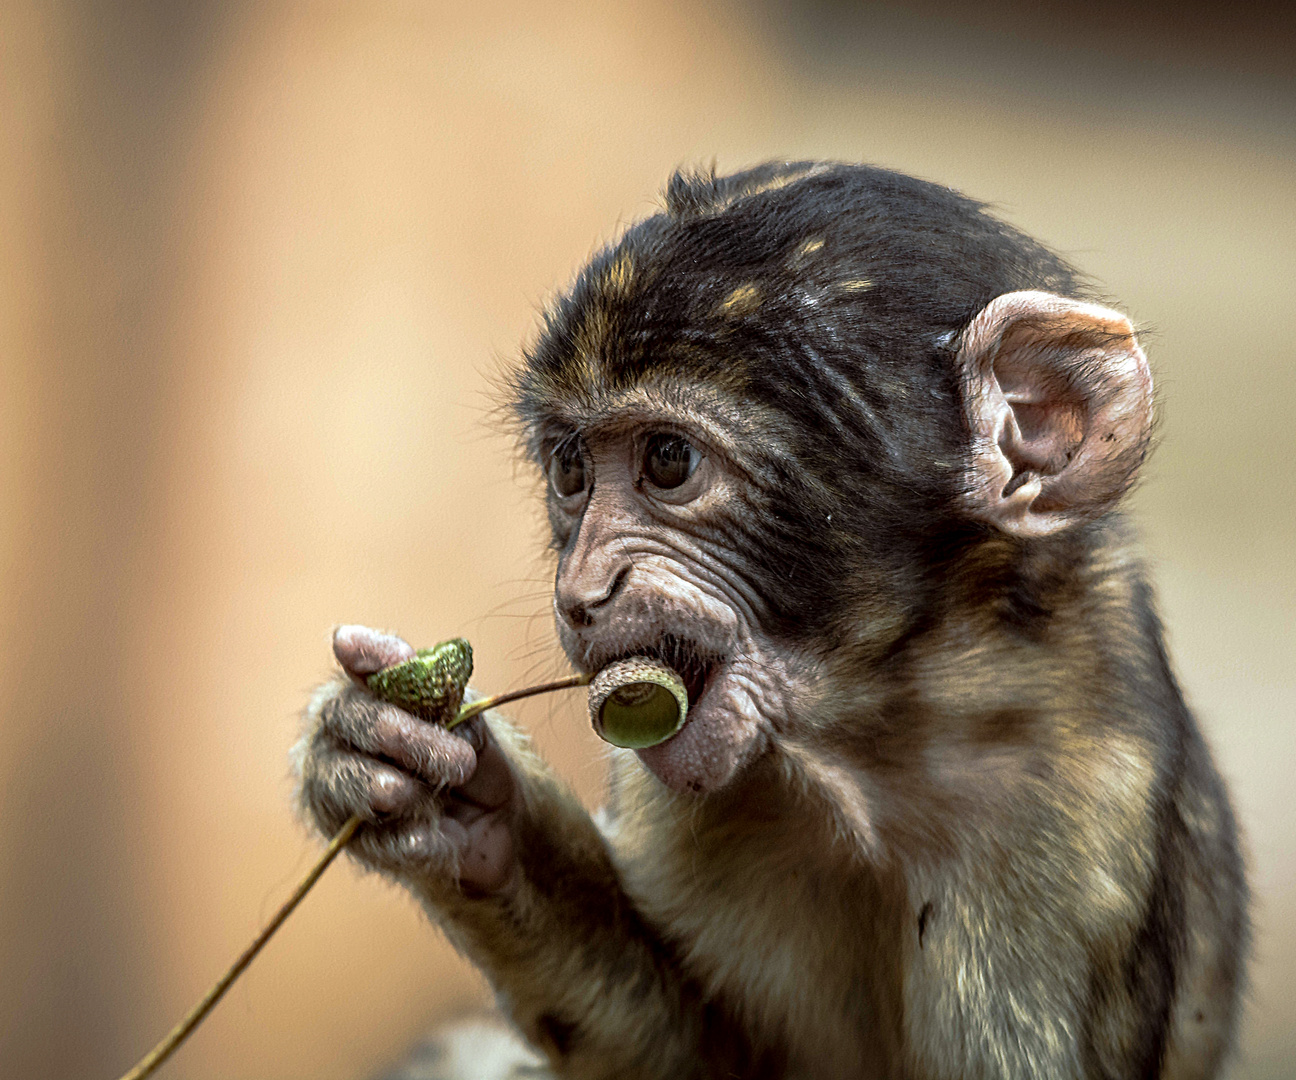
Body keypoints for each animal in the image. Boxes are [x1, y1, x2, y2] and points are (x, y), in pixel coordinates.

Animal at [294, 162, 1244, 1078]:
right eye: (571, 471)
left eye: (667, 460)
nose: (582, 591)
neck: (868, 734)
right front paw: (454, 797)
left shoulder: (1081, 799)